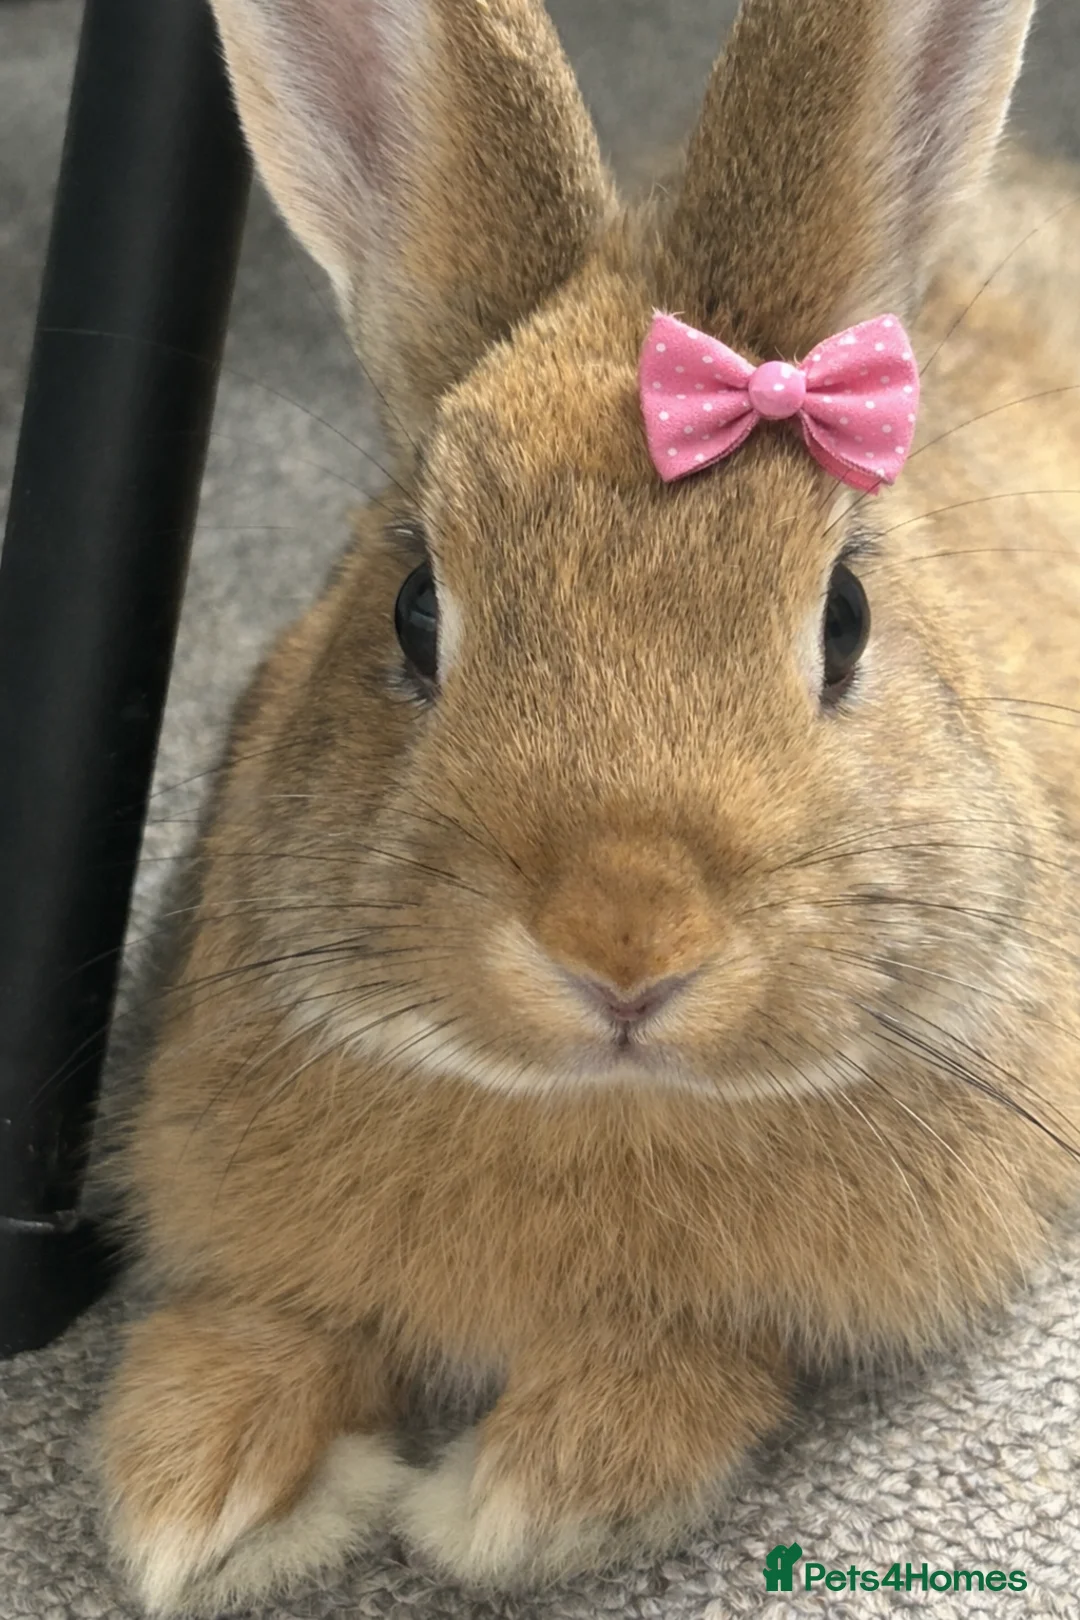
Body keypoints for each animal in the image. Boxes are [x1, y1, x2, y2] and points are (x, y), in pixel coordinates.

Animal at [91, 0, 1080, 1613]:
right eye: (414, 607)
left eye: (847, 616)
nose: (625, 942)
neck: (591, 1102)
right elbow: (264, 1326)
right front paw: (196, 1488)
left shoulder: (770, 1315)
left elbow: (683, 1370)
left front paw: (521, 1494)